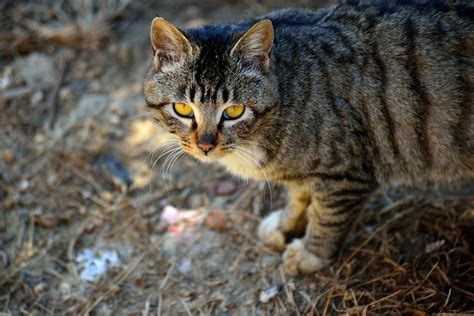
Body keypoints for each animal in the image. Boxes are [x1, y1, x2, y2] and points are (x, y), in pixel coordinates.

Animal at [143, 0, 474, 276]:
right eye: (183, 108)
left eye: (234, 111)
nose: (205, 145)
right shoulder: (309, 174)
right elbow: (300, 197)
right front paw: (287, 223)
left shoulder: (346, 175)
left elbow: (328, 217)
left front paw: (310, 254)